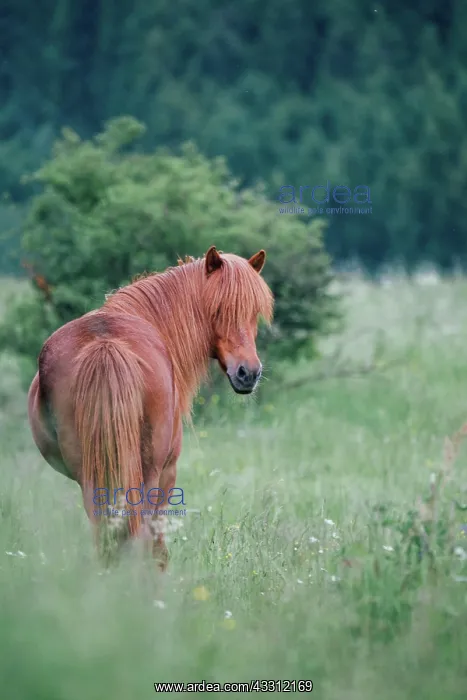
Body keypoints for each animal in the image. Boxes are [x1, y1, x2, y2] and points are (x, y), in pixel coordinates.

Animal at [27, 246, 274, 568]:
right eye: (219, 309)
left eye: (254, 312)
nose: (249, 373)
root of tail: (105, 345)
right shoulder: (168, 472)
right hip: (149, 475)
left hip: (92, 475)